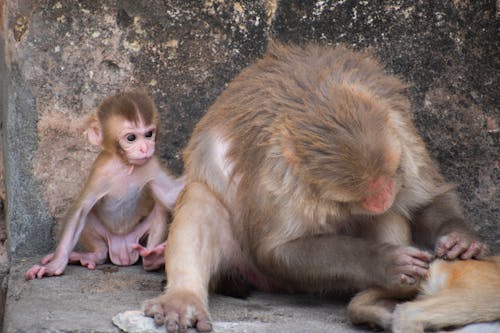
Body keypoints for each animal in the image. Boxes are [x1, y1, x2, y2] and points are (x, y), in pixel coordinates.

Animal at [23, 89, 184, 278]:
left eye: (148, 134)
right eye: (131, 138)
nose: (145, 148)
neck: (125, 165)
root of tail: (122, 252)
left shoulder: (151, 164)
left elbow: (170, 195)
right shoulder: (100, 172)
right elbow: (80, 211)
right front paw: (54, 266)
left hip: (136, 238)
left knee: (160, 207)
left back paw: (152, 258)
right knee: (89, 221)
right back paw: (92, 255)